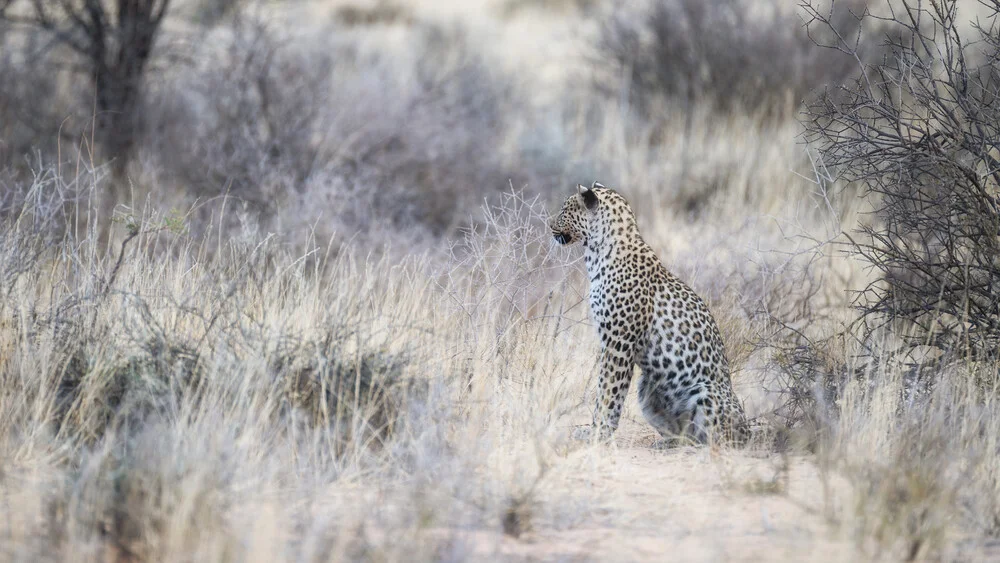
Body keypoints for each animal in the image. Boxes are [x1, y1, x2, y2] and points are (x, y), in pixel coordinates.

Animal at [552, 183, 748, 448]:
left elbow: (609, 392)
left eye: (565, 210)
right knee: (685, 435)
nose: (549, 225)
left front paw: (598, 434)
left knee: (715, 439)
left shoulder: (619, 343)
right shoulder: (609, 343)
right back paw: (667, 443)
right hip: (647, 387)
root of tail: (749, 431)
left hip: (706, 391)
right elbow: (606, 389)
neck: (597, 254)